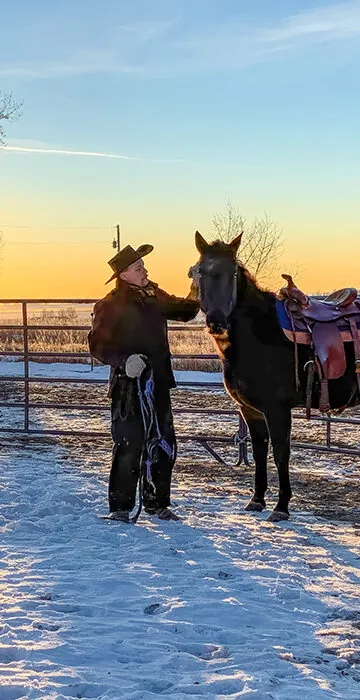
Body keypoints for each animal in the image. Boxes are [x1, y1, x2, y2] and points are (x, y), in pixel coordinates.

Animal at [193, 232, 360, 524]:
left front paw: (281, 506)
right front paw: (256, 500)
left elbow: (281, 453)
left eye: (232, 272)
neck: (256, 334)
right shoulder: (249, 410)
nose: (216, 322)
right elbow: (260, 451)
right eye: (200, 271)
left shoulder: (277, 409)